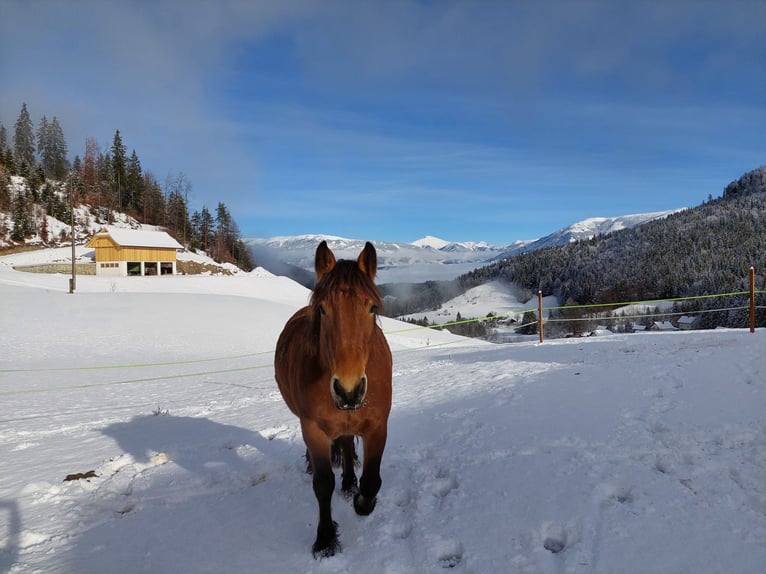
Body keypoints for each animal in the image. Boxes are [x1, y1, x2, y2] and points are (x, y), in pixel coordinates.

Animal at [274, 241, 392, 560]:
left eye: (371, 307)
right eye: (323, 308)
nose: (348, 390)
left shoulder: (378, 425)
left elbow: (372, 478)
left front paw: (362, 501)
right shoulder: (313, 428)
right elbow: (323, 483)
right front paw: (325, 538)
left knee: (348, 444)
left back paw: (350, 483)